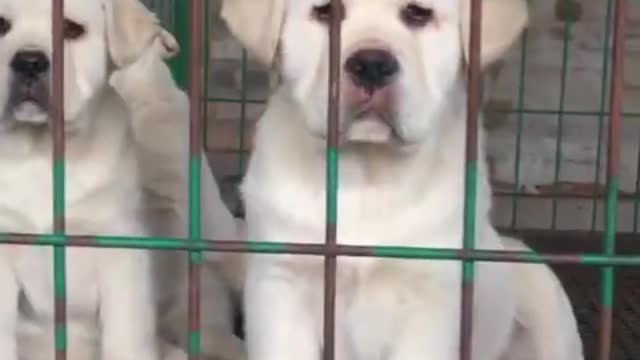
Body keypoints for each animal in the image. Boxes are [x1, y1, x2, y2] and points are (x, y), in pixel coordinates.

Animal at [221, 0, 584, 358]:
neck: (367, 177)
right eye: (326, 13)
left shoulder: (432, 296)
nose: (371, 64)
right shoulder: (282, 280)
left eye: (418, 14)